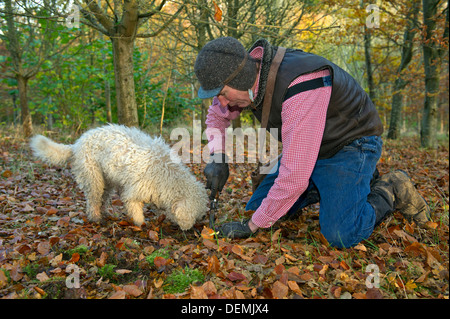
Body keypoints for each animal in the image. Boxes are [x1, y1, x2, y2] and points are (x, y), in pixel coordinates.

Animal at [29, 124, 209, 231]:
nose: (195, 228)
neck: (168, 176)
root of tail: (75, 145)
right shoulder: (133, 194)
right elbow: (136, 211)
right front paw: (141, 224)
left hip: (106, 181)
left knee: (102, 199)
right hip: (93, 178)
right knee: (93, 201)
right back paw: (95, 218)